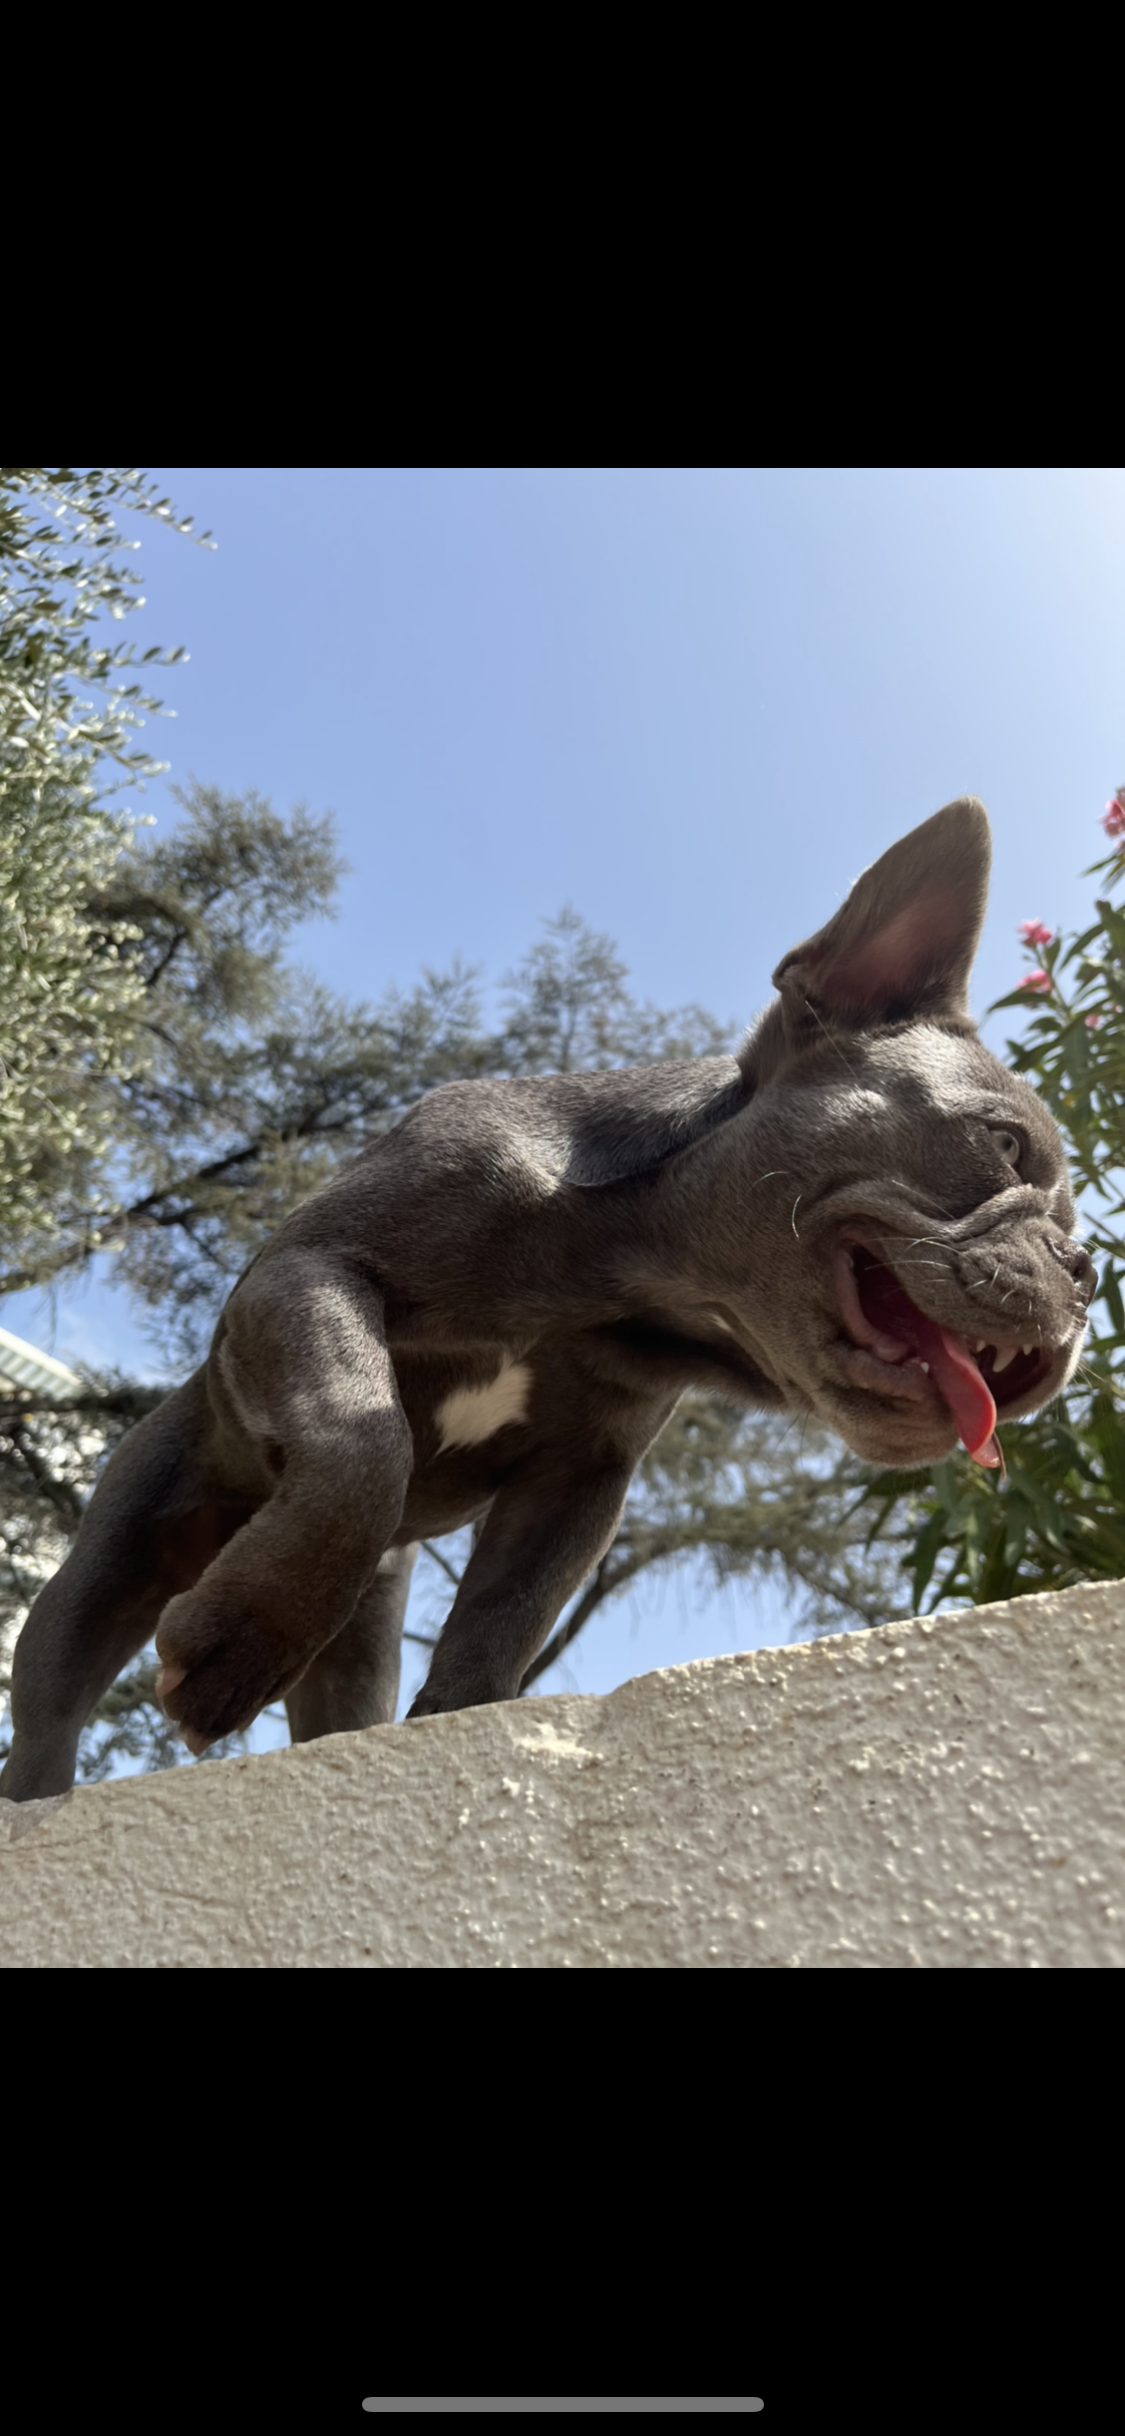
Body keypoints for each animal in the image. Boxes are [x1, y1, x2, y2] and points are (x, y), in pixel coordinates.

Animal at [0, 798, 1095, 1801]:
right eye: (1003, 1145)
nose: (1084, 1270)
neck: (616, 1271)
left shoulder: (580, 1476)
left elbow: (503, 1616)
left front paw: (454, 1724)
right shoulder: (309, 1270)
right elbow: (360, 1432)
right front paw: (235, 1644)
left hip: (363, 1630)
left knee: (342, 1687)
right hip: (127, 1540)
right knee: (55, 1688)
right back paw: (45, 1794)